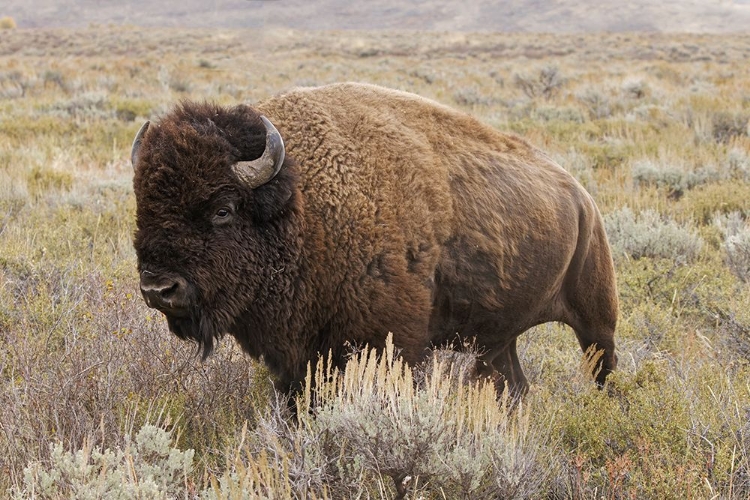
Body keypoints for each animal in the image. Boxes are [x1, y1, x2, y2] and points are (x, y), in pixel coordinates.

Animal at [132, 82, 620, 396]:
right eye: (142, 204)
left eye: (223, 210)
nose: (159, 288)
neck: (301, 203)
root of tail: (582, 198)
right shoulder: (298, 357)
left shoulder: (389, 345)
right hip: (499, 337)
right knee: (512, 383)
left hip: (597, 320)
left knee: (603, 370)